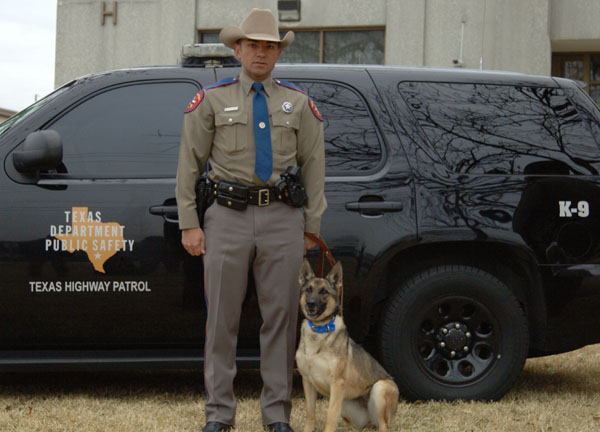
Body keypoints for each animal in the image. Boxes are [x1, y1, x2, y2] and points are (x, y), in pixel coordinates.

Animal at [296, 260, 398, 432]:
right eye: (308, 289)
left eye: (324, 292)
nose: (310, 304)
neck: (319, 330)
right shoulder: (308, 381)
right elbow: (310, 414)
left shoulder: (337, 384)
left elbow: (330, 417)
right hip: (346, 407)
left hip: (379, 389)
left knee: (384, 426)